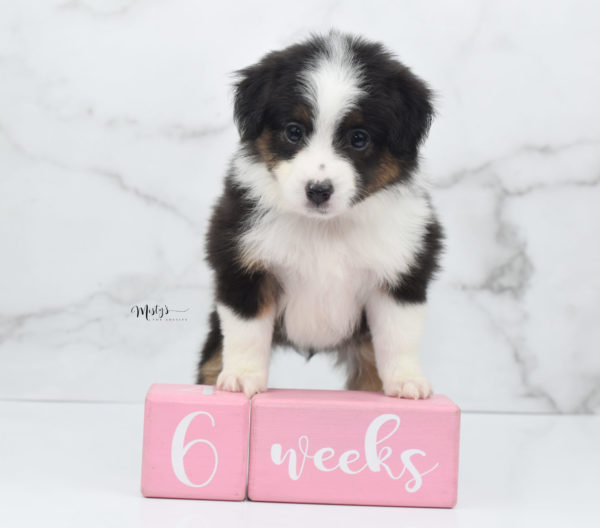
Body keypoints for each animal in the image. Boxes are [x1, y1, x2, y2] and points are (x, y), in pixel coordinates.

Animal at [195, 28, 442, 400]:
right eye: (294, 131)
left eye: (359, 138)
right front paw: (242, 377)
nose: (318, 190)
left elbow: (399, 336)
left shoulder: (401, 270)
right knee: (212, 360)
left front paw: (407, 382)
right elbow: (247, 332)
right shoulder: (243, 263)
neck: (325, 227)